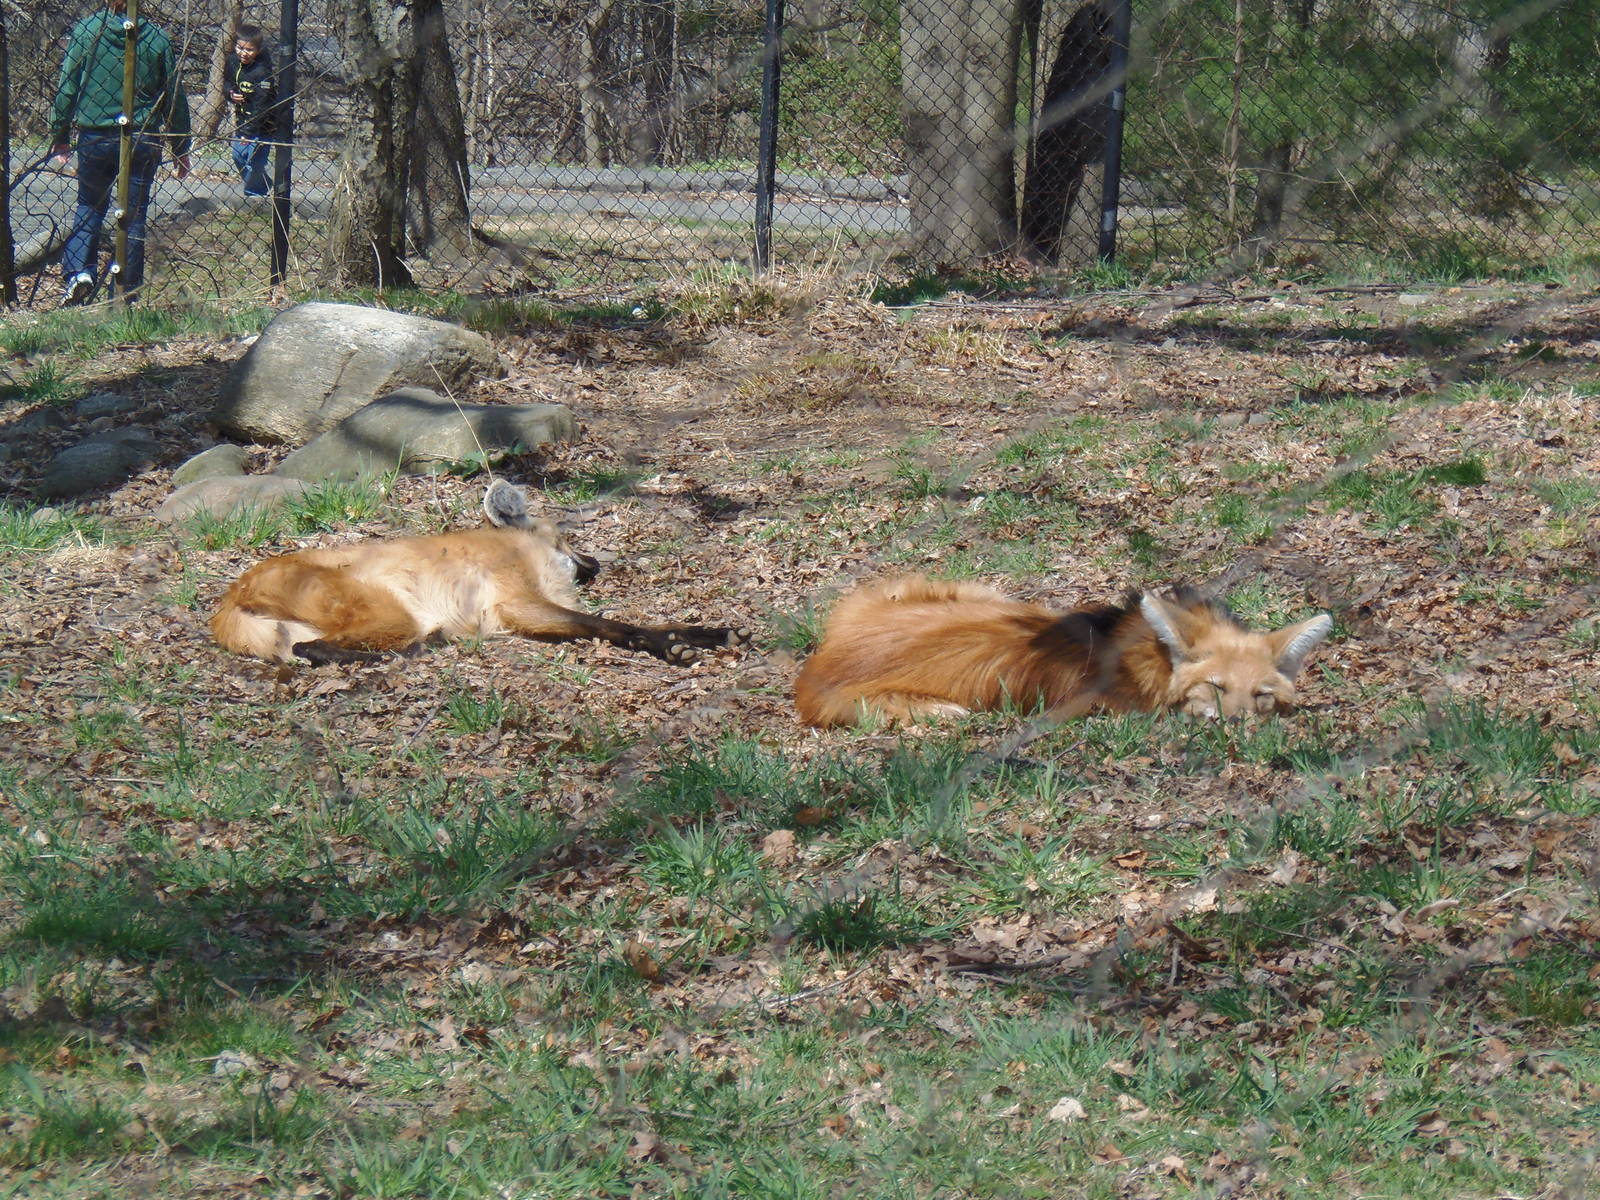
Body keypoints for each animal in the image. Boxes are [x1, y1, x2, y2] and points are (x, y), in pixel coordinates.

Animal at [211, 480, 744, 665]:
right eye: (568, 540)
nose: (596, 565)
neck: (520, 545)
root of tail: (232, 594)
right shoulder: (515, 603)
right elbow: (613, 624)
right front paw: (670, 647)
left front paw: (713, 632)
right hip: (392, 611)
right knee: (313, 649)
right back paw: (415, 650)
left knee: (306, 648)